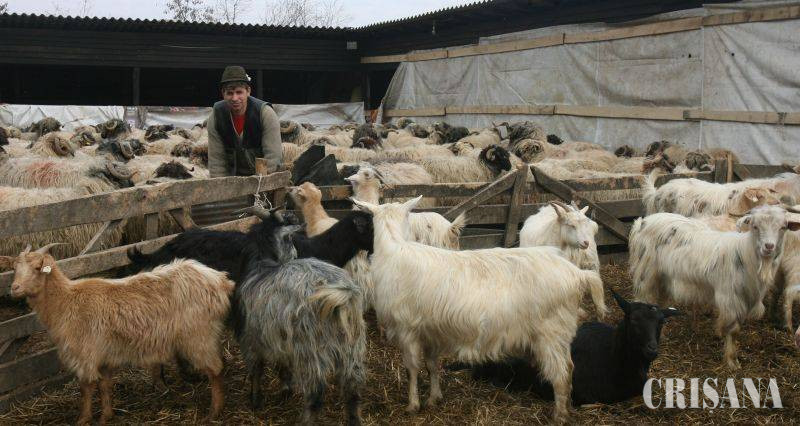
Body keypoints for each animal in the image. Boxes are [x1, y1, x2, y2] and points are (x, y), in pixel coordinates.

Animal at [3, 244, 233, 424]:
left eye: (37, 268)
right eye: (14, 268)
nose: (14, 288)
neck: (66, 300)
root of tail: (220, 281)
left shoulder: (84, 353)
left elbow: (86, 387)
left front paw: (83, 419)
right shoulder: (104, 352)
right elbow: (105, 385)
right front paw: (106, 415)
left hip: (199, 335)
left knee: (215, 370)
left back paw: (214, 412)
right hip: (207, 334)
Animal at [234, 224, 365, 425]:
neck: (261, 264)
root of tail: (341, 296)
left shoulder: (252, 339)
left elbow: (256, 370)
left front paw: (255, 400)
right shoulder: (278, 338)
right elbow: (282, 365)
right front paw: (286, 389)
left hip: (309, 350)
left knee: (315, 395)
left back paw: (305, 420)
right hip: (352, 345)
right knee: (352, 390)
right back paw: (354, 420)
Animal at [351, 196, 606, 425]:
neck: (394, 250)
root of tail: (577, 274)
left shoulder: (407, 329)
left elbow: (411, 369)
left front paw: (412, 405)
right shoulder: (430, 331)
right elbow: (432, 365)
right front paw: (434, 398)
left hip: (551, 333)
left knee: (562, 374)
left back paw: (559, 416)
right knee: (568, 370)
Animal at [630, 205, 800, 369]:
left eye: (783, 227)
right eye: (755, 226)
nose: (768, 246)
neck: (747, 256)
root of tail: (643, 222)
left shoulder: (745, 298)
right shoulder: (730, 298)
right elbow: (733, 330)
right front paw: (732, 362)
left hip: (663, 277)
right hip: (645, 275)